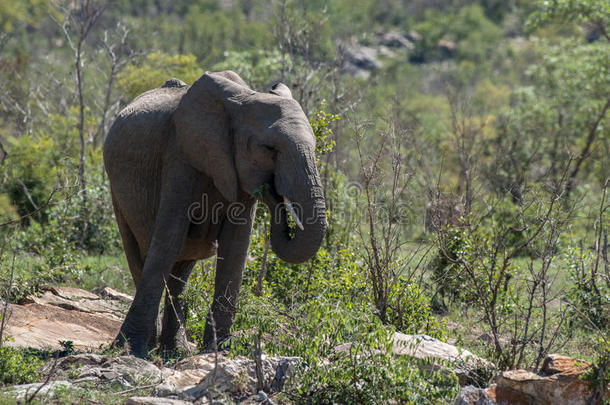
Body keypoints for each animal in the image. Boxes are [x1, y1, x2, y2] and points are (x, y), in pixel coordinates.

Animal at [102, 71, 326, 356]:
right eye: (269, 149)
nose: (274, 191)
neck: (242, 100)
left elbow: (235, 248)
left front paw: (219, 349)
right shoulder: (181, 155)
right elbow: (168, 240)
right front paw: (130, 350)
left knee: (180, 271)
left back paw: (175, 351)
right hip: (117, 193)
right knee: (140, 256)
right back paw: (151, 348)